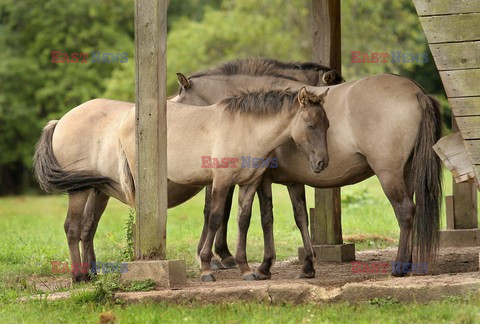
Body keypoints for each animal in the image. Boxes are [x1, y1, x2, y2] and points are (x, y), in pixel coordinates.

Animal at [35, 87, 332, 282]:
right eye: (310, 124)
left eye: (327, 125)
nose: (322, 163)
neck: (245, 128)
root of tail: (60, 121)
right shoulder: (221, 182)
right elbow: (215, 219)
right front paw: (206, 268)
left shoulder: (249, 183)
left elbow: (243, 220)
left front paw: (246, 269)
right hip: (82, 189)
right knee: (73, 228)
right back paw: (79, 278)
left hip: (98, 191)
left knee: (87, 228)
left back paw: (92, 274)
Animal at [176, 72, 442, 280]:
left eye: (181, 99)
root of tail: (415, 91)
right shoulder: (293, 181)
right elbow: (300, 217)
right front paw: (307, 267)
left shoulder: (261, 179)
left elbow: (262, 218)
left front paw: (262, 266)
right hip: (406, 173)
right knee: (410, 212)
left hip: (388, 173)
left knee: (404, 211)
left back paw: (400, 266)